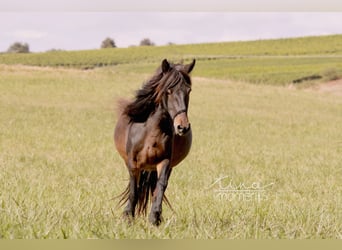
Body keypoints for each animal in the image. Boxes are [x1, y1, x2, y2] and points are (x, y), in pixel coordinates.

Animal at [114, 58, 195, 225]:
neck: (150, 133)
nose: (182, 127)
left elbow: (160, 186)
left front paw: (154, 217)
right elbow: (134, 189)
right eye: (168, 90)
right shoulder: (133, 164)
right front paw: (128, 217)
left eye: (188, 90)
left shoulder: (164, 162)